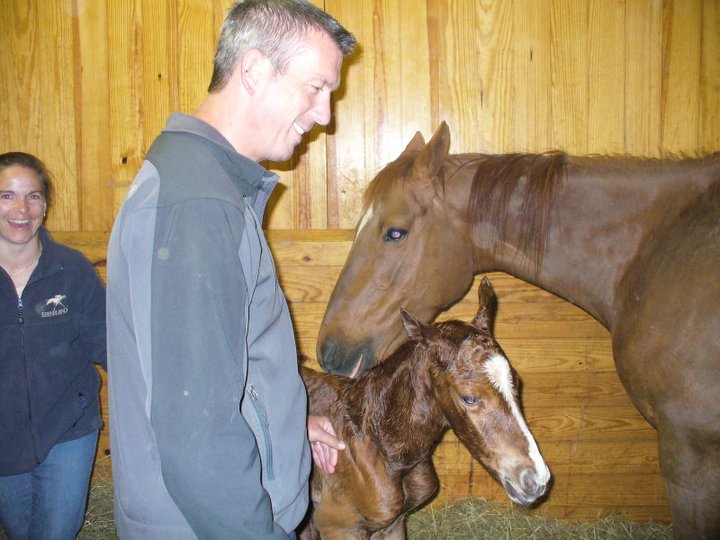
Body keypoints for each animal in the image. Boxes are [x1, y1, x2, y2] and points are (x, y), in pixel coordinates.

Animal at [302, 277, 550, 539]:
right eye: (469, 398)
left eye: (517, 383)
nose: (536, 480)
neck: (381, 445)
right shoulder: (339, 526)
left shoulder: (393, 524)